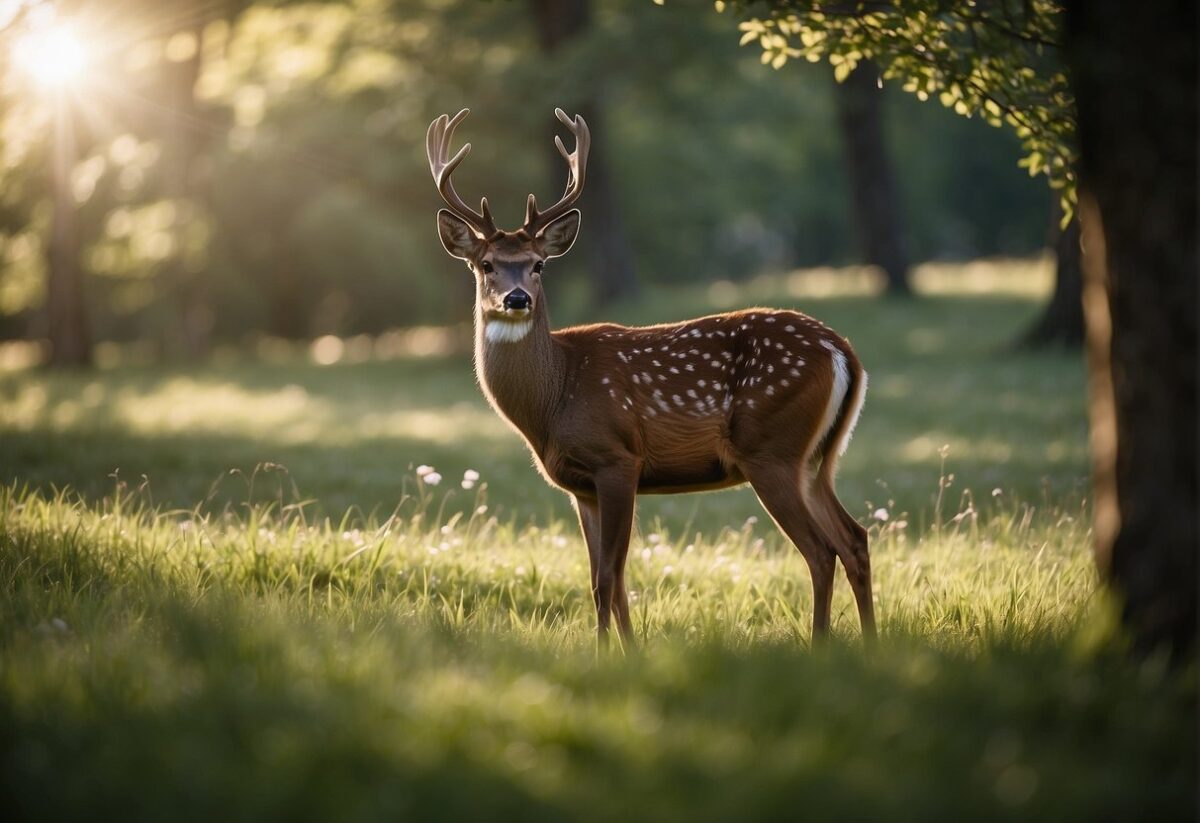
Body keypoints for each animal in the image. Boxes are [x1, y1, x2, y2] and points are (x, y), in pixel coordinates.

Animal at [427, 108, 874, 644]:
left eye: (538, 265)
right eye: (486, 264)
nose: (517, 299)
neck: (554, 400)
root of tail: (843, 352)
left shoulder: (617, 458)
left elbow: (607, 576)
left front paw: (606, 652)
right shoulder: (581, 487)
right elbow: (606, 579)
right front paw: (627, 649)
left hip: (772, 448)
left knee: (821, 551)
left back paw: (820, 645)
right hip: (818, 458)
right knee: (855, 538)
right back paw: (871, 642)